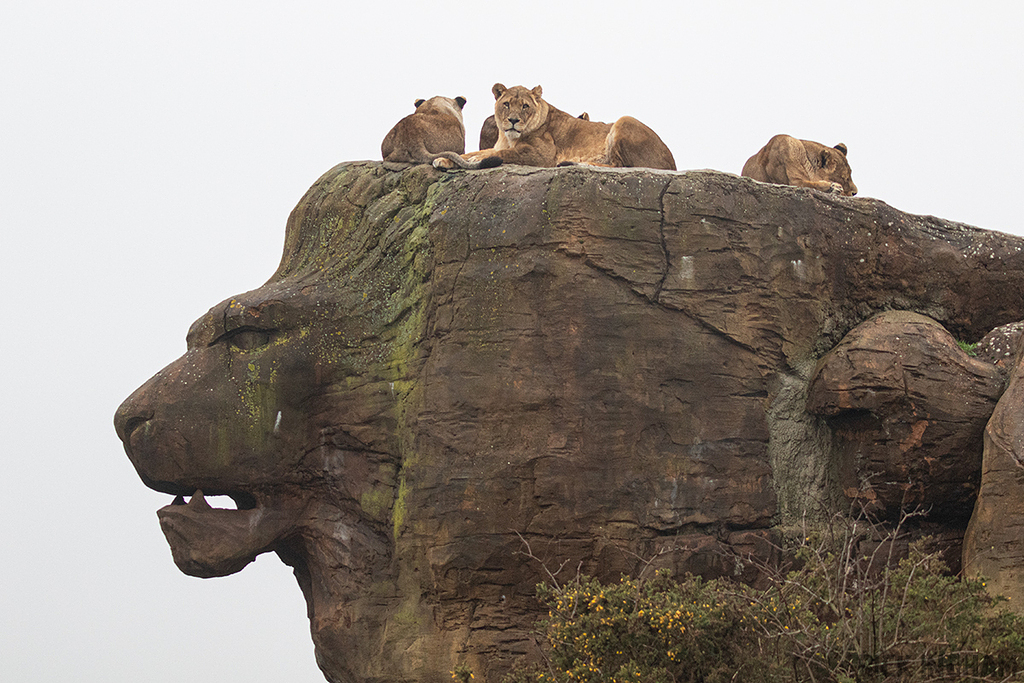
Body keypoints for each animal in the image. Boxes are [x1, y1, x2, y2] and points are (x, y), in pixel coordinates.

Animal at [434, 84, 675, 170]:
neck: (509, 137)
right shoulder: (497, 146)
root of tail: (672, 163)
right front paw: (444, 159)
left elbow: (502, 154)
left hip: (624, 120)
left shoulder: (540, 155)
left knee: (620, 165)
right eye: (506, 104)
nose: (513, 120)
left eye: (525, 106)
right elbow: (469, 153)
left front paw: (476, 159)